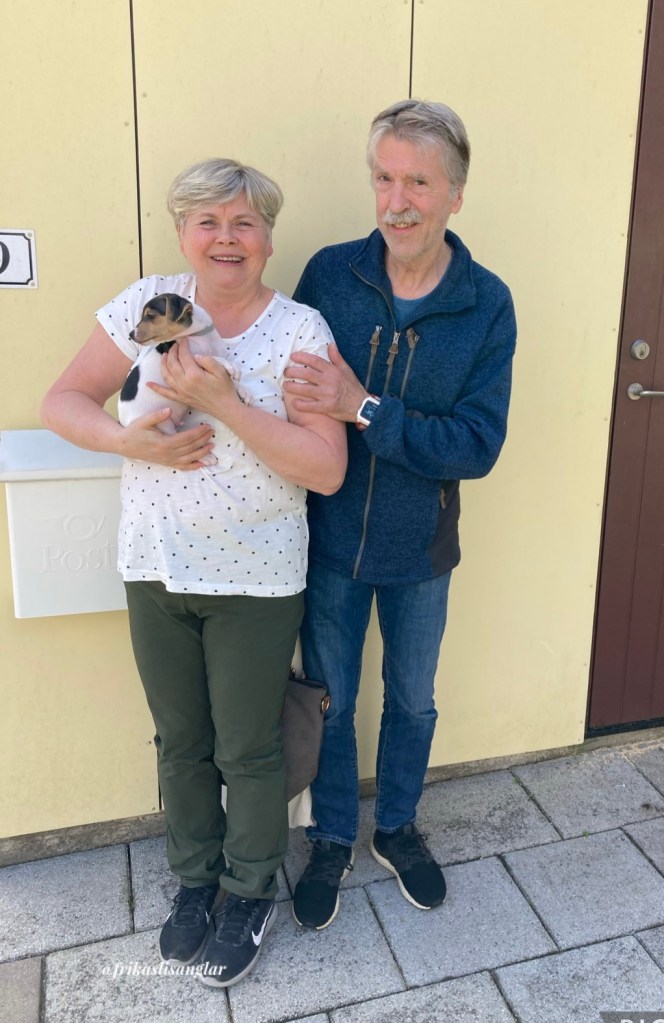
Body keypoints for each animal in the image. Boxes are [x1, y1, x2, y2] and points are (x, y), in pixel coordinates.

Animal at [118, 293, 252, 467]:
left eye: (150, 315)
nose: (131, 334)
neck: (198, 337)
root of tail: (124, 424)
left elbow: (229, 377)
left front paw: (244, 391)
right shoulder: (191, 361)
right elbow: (212, 359)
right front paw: (232, 366)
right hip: (162, 423)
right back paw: (205, 457)